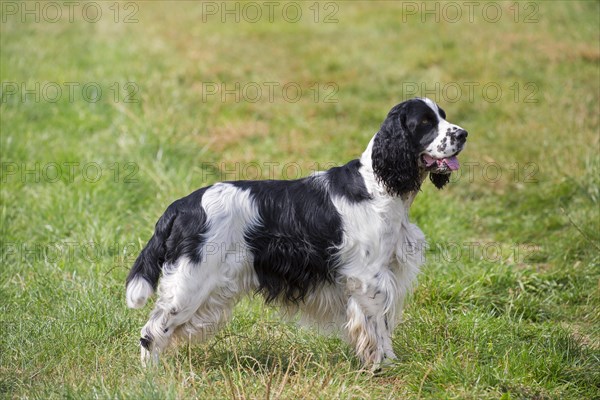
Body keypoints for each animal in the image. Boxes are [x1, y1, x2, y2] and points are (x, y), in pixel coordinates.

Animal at [124, 96, 466, 368]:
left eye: (443, 115)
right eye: (425, 123)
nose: (463, 134)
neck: (378, 186)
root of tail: (183, 205)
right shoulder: (369, 278)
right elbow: (377, 328)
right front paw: (383, 366)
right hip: (191, 282)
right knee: (152, 331)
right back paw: (151, 376)